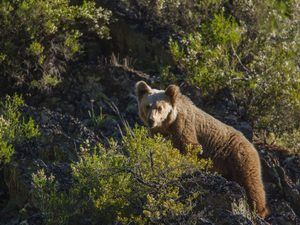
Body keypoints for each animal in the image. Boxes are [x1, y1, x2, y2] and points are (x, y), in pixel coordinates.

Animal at [135, 80, 268, 218]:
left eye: (160, 107)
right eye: (148, 106)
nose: (151, 120)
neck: (168, 125)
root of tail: (251, 144)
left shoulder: (184, 126)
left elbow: (190, 147)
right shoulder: (158, 133)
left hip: (239, 157)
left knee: (251, 183)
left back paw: (259, 210)